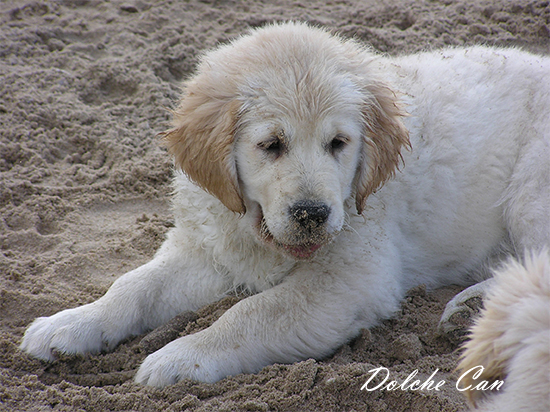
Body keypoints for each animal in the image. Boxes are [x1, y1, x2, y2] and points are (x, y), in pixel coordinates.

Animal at [19, 22, 548, 388]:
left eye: (338, 144)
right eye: (271, 145)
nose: (312, 214)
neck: (256, 233)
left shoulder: (351, 277)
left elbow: (255, 311)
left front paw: (182, 355)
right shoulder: (208, 249)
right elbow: (133, 286)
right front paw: (72, 324)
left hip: (531, 192)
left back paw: (475, 307)